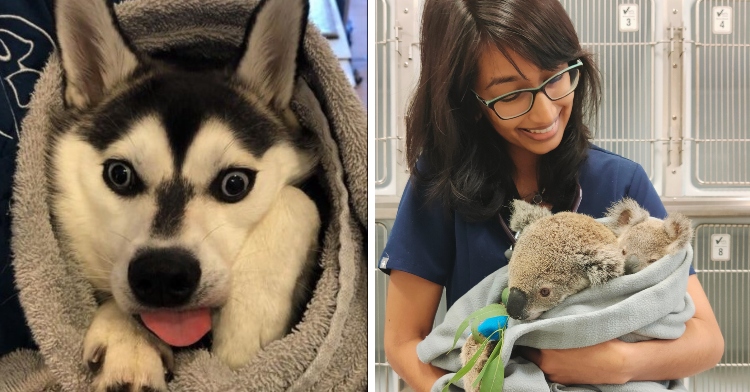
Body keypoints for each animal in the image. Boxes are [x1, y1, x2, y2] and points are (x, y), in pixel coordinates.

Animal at [49, 0, 320, 388]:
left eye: (235, 184)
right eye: (120, 175)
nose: (163, 274)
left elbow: (298, 200)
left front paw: (248, 319)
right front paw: (130, 344)